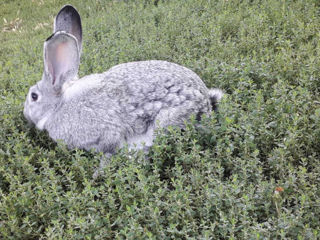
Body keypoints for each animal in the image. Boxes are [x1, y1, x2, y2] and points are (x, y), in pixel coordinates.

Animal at [23, 3, 222, 172]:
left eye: (34, 96)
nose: (25, 114)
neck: (59, 106)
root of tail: (206, 105)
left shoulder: (106, 134)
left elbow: (108, 150)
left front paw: (99, 173)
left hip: (164, 123)